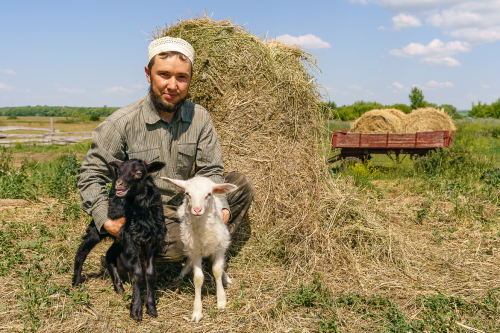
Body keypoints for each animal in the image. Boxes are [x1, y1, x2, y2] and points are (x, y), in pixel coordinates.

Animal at [161, 176, 237, 322]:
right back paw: (181, 275)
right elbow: (198, 278)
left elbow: (217, 270)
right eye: (187, 193)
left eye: (208, 194)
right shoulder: (195, 249)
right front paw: (197, 311)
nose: (197, 210)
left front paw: (221, 300)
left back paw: (226, 279)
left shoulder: (220, 245)